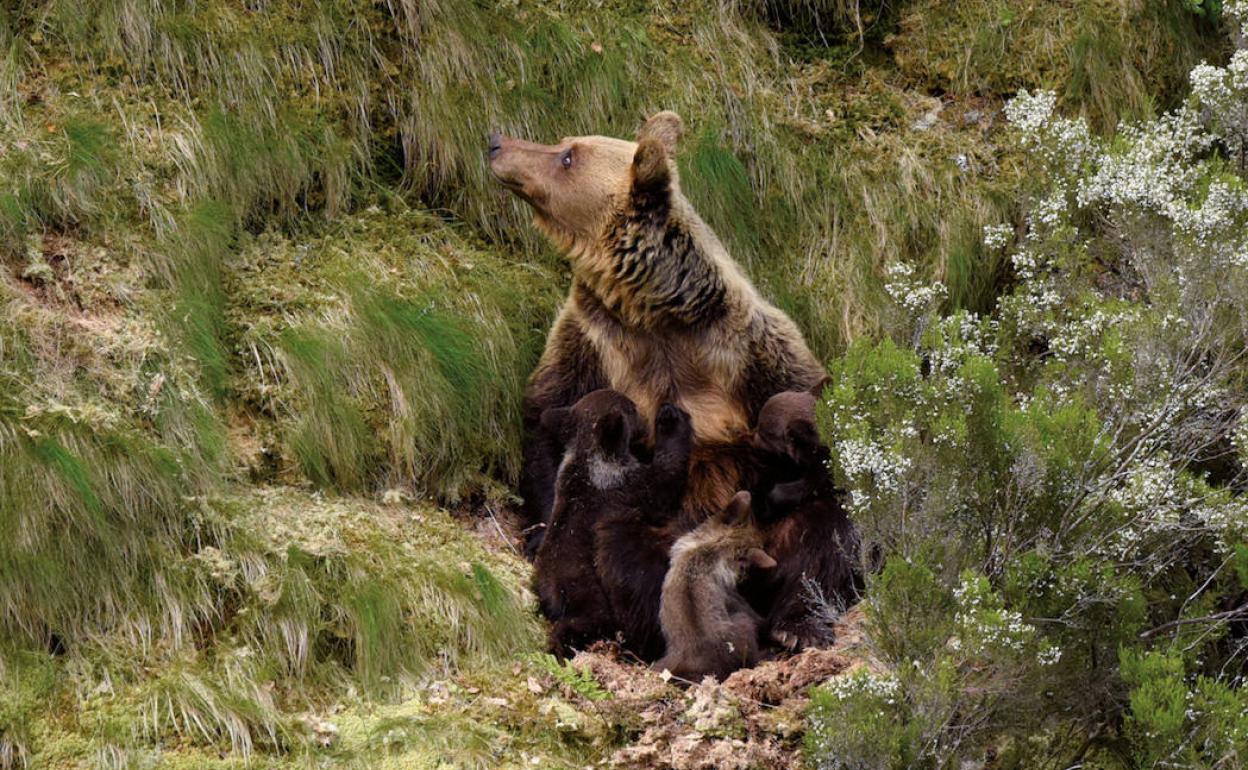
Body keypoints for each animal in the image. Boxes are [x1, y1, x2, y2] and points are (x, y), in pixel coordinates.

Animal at [486, 111, 828, 549]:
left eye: (568, 157)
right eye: (564, 143)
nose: (497, 142)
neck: (654, 312)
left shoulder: (747, 355)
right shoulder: (594, 342)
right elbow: (548, 416)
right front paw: (544, 529)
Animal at [534, 389, 698, 653]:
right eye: (631, 407)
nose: (644, 416)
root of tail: (551, 584)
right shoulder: (628, 485)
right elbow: (665, 475)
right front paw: (671, 421)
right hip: (584, 585)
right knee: (592, 616)